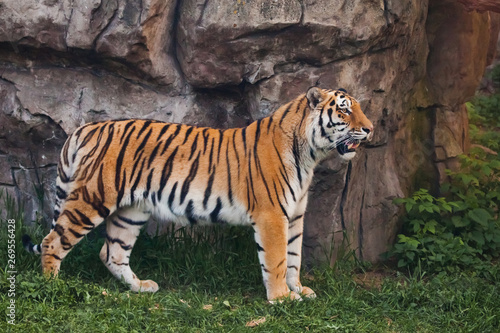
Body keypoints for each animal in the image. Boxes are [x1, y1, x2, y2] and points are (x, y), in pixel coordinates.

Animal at [23, 86, 374, 300]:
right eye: (345, 111)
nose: (370, 129)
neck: (310, 154)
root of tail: (86, 128)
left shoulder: (295, 215)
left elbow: (294, 257)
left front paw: (298, 290)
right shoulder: (272, 215)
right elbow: (275, 259)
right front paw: (281, 298)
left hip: (131, 212)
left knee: (112, 253)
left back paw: (141, 287)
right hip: (91, 198)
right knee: (53, 242)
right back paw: (52, 287)